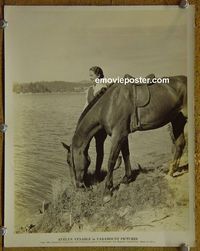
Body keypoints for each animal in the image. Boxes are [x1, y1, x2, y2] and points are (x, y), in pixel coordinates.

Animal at [62, 74, 188, 202]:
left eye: (69, 161)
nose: (76, 185)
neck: (108, 104)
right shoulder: (123, 135)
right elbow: (126, 154)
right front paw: (127, 178)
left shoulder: (118, 135)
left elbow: (111, 161)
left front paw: (107, 190)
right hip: (177, 119)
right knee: (180, 144)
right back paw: (171, 173)